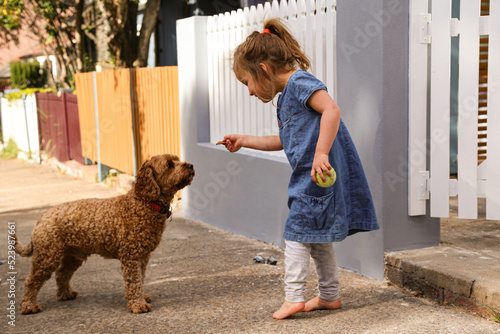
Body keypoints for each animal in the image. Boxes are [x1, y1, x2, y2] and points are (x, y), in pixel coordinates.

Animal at [14, 154, 194, 314]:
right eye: (170, 165)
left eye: (177, 159)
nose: (191, 165)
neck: (143, 203)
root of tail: (42, 217)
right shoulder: (131, 257)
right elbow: (134, 281)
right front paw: (138, 304)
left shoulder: (142, 257)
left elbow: (140, 279)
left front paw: (141, 297)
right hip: (47, 257)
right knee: (31, 281)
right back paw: (29, 306)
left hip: (73, 256)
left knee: (62, 274)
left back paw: (65, 294)